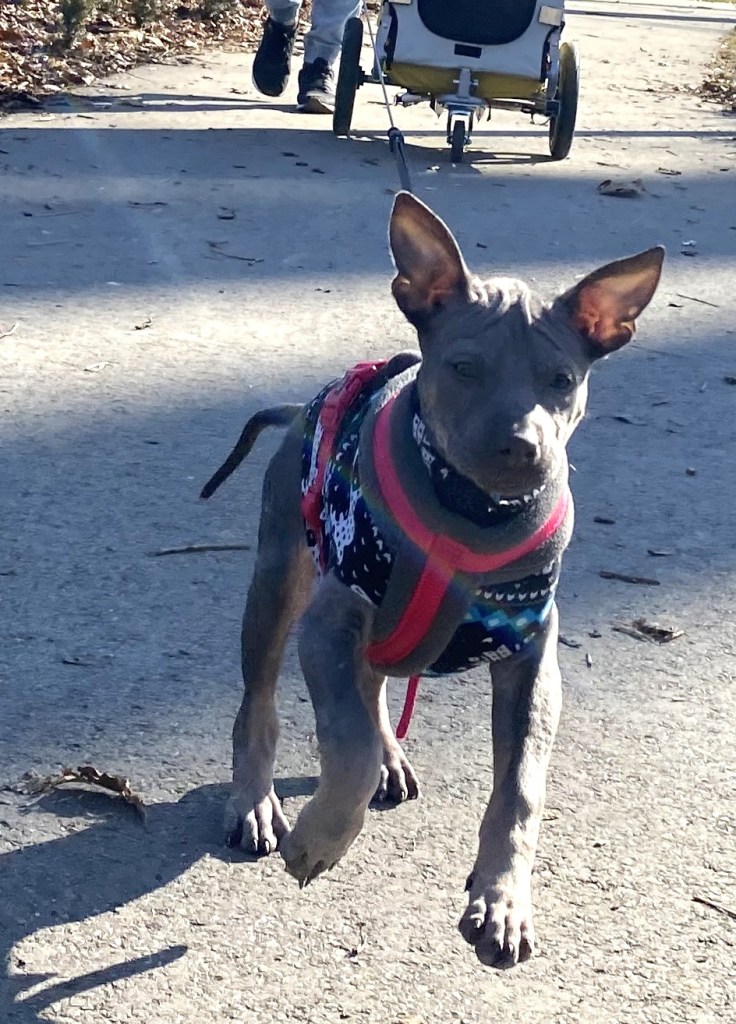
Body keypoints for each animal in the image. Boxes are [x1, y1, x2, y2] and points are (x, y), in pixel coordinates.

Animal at [202, 192, 663, 968]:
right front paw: (320, 837)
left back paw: (391, 755)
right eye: (464, 367)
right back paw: (256, 801)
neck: (470, 515)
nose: (521, 445)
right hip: (276, 583)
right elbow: (348, 749)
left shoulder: (531, 662)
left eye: (562, 381)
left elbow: (519, 791)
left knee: (374, 687)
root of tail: (301, 409)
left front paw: (503, 902)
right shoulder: (330, 621)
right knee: (262, 701)